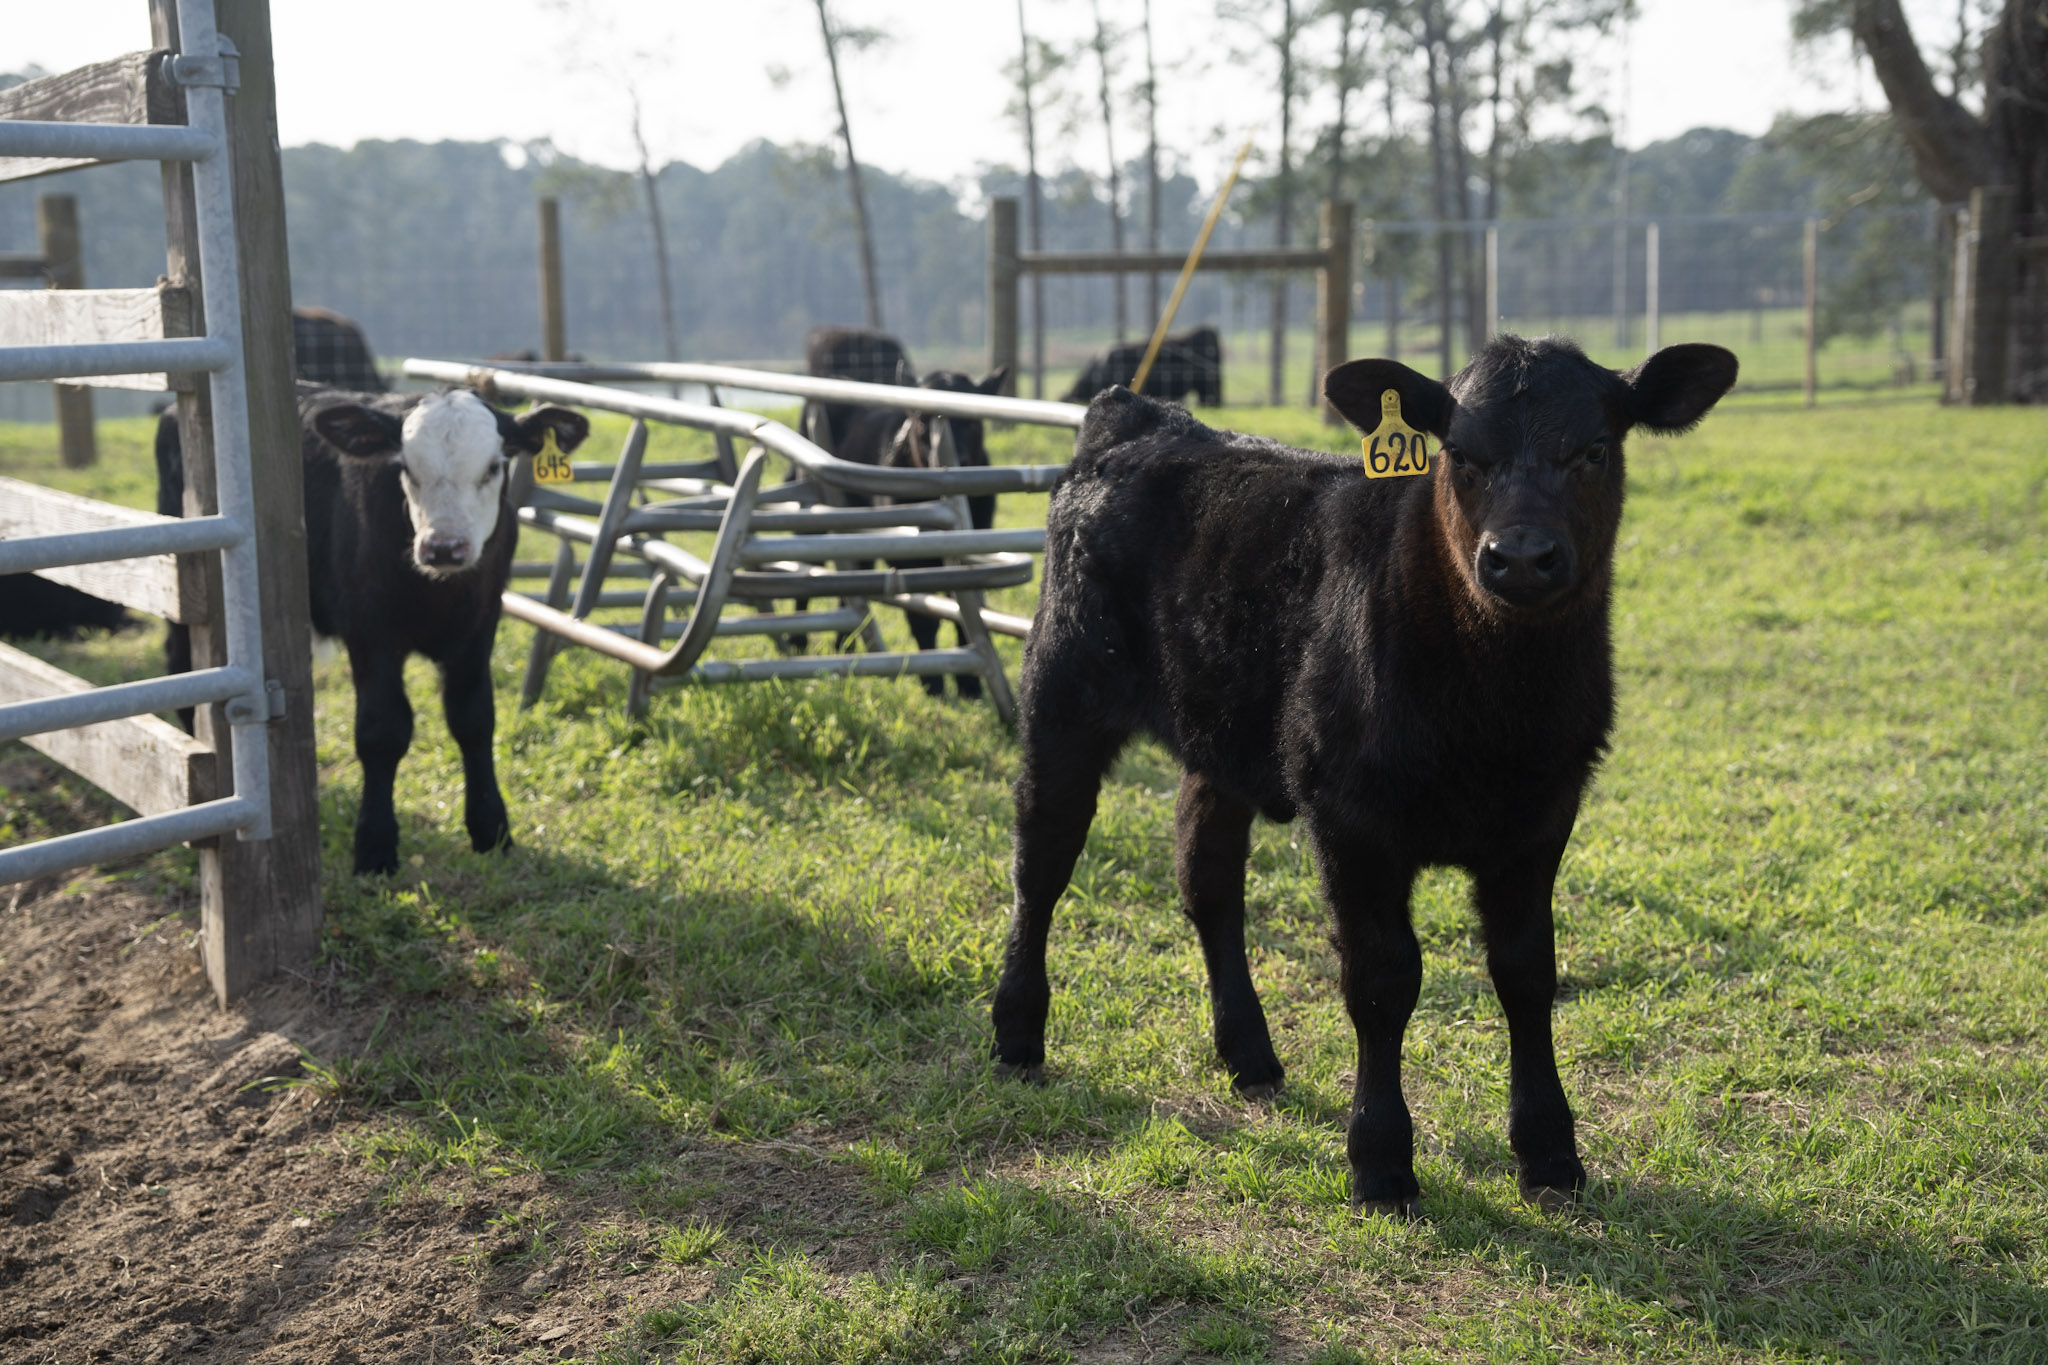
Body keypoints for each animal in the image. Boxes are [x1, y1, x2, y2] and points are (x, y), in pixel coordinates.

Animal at [158, 383, 589, 873]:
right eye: (405, 466)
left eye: (495, 465)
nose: (445, 548)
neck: (435, 594)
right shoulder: (370, 633)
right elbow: (382, 730)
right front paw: (375, 845)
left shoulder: (480, 627)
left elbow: (474, 720)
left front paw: (491, 828)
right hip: (189, 580)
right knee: (184, 665)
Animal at [991, 335, 1739, 1217]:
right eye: (1460, 453)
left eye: (1593, 449)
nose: (1521, 559)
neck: (1497, 715)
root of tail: (1134, 414)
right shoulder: (1352, 819)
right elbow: (1383, 979)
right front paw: (1380, 1160)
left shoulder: (1544, 814)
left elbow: (1527, 972)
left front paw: (1551, 1150)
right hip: (1062, 689)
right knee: (1041, 860)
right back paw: (1016, 1033)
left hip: (1222, 733)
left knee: (1207, 877)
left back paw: (1249, 1053)